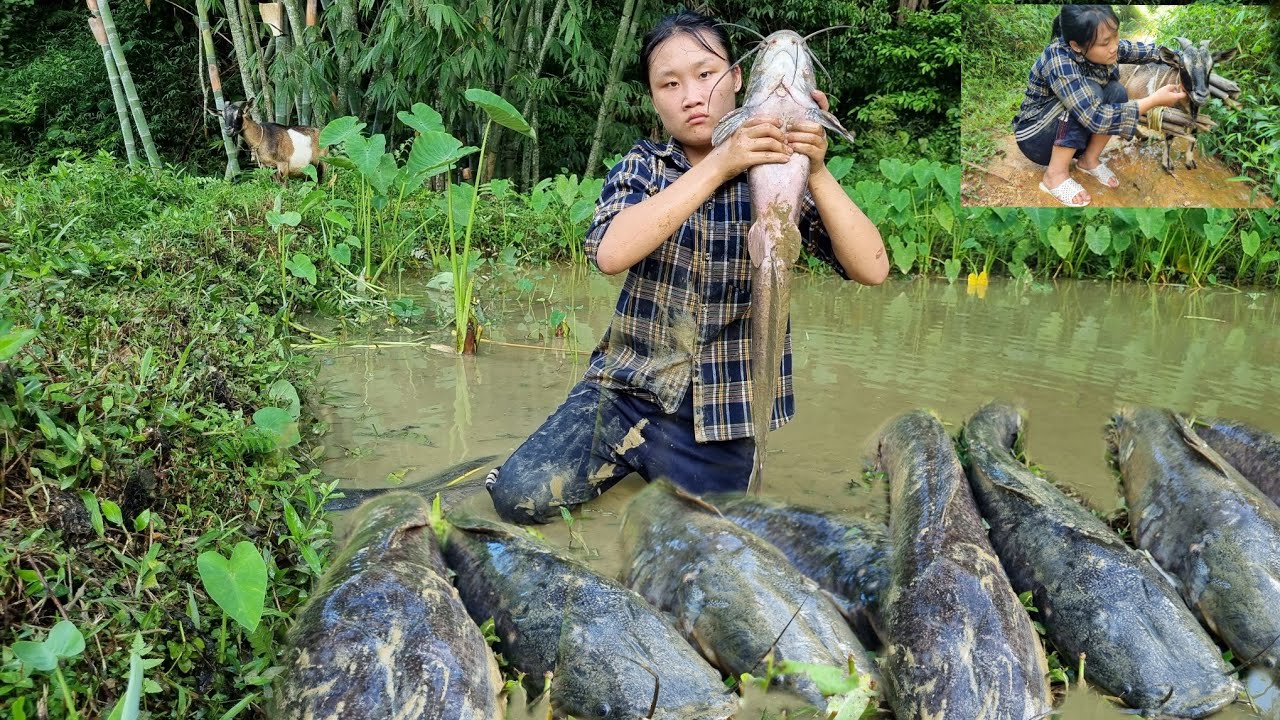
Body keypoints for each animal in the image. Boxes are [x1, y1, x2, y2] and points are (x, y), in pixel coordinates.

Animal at [1119, 37, 1237, 173]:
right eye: (1182, 66)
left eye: (1211, 66)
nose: (1202, 95)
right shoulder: (1169, 112)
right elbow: (1170, 137)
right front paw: (1167, 163)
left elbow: (1194, 132)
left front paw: (1190, 160)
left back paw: (1142, 136)